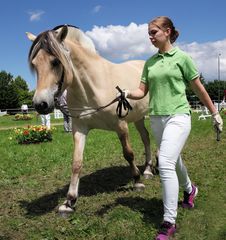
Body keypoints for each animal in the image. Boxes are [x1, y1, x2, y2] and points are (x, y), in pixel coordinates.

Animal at [26, 24, 154, 214]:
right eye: (34, 64)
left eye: (55, 62)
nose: (40, 104)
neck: (92, 86)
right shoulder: (79, 129)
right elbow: (76, 162)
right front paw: (69, 201)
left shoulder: (121, 125)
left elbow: (128, 154)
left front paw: (137, 181)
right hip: (138, 118)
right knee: (146, 137)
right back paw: (147, 169)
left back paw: (149, 170)